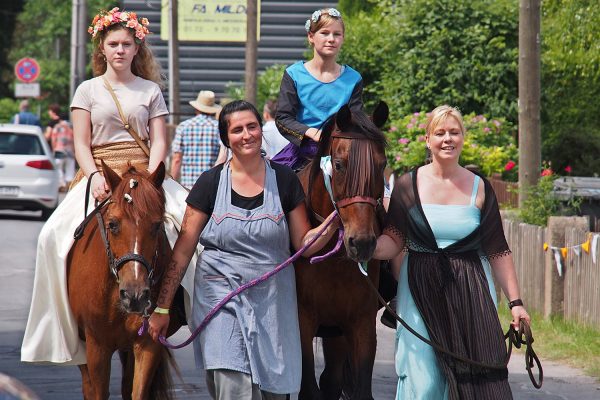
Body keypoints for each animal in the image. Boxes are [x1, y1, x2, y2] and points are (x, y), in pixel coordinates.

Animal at [67, 161, 183, 398]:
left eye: (157, 225)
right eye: (112, 224)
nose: (135, 296)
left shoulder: (148, 343)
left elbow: (136, 391)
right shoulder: (96, 346)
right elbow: (97, 391)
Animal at [296, 101, 390, 398]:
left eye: (382, 164)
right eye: (338, 165)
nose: (361, 243)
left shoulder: (360, 323)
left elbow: (360, 389)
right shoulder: (301, 321)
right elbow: (308, 388)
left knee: (332, 380)